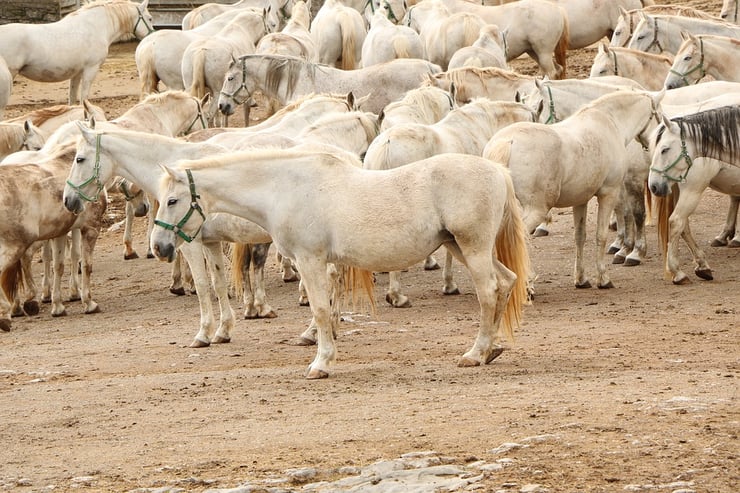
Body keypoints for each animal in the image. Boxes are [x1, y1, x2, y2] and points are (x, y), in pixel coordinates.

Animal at [0, 0, 154, 105]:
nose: (151, 35)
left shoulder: (77, 73)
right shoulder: (91, 69)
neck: (95, 26)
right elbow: (84, 98)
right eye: (150, 18)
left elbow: (72, 99)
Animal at [149, 147, 530, 379]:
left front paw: (321, 362)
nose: (159, 246)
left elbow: (319, 310)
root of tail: (498, 171)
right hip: (463, 248)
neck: (285, 189)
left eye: (172, 200)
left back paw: (476, 353)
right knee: (506, 283)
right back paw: (491, 350)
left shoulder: (309, 260)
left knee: (488, 292)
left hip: (473, 249)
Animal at [484, 89, 664, 290]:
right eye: (660, 119)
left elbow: (580, 237)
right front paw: (603, 278)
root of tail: (507, 141)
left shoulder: (580, 200)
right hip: (536, 210)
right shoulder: (608, 194)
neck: (609, 123)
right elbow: (601, 235)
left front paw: (581, 279)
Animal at [648, 105, 740, 285]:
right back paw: (679, 272)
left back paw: (701, 266)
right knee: (677, 221)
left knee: (683, 225)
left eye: (664, 149)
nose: (653, 186)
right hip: (692, 190)